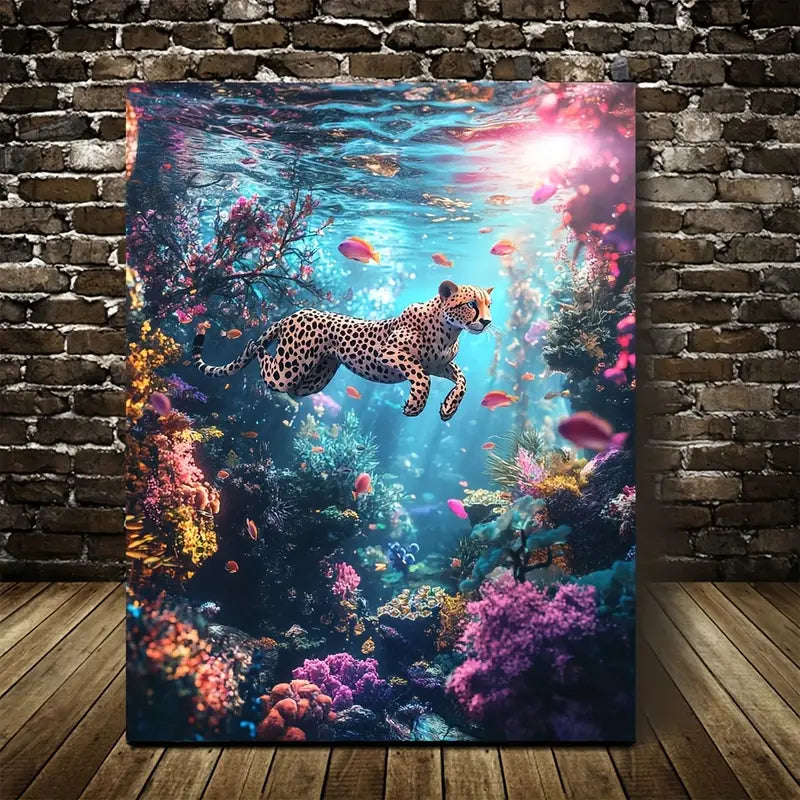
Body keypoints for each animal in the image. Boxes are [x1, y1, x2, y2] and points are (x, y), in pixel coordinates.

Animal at [192, 280, 493, 421]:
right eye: (471, 304)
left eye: (488, 305)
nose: (487, 321)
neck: (449, 330)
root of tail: (296, 313)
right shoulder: (390, 353)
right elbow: (420, 376)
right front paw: (415, 404)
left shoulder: (441, 365)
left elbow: (463, 381)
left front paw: (448, 408)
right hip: (288, 370)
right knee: (264, 361)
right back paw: (254, 346)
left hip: (314, 379)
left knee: (292, 388)